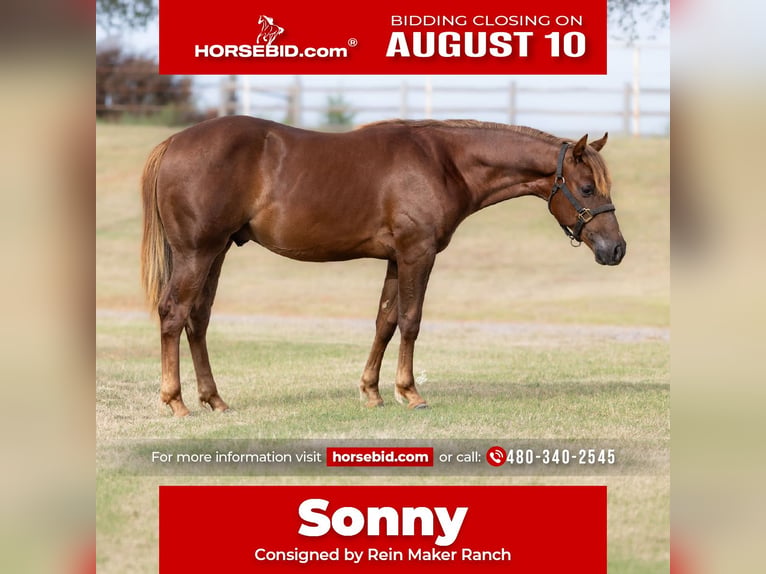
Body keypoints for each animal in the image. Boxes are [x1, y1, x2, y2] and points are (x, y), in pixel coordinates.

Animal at [140, 117, 626, 417]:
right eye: (587, 188)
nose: (615, 249)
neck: (444, 162)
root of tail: (173, 143)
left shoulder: (396, 258)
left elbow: (385, 321)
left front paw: (371, 392)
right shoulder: (417, 254)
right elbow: (410, 321)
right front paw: (409, 393)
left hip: (216, 251)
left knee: (198, 319)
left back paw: (214, 400)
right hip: (197, 252)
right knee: (174, 314)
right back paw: (176, 401)